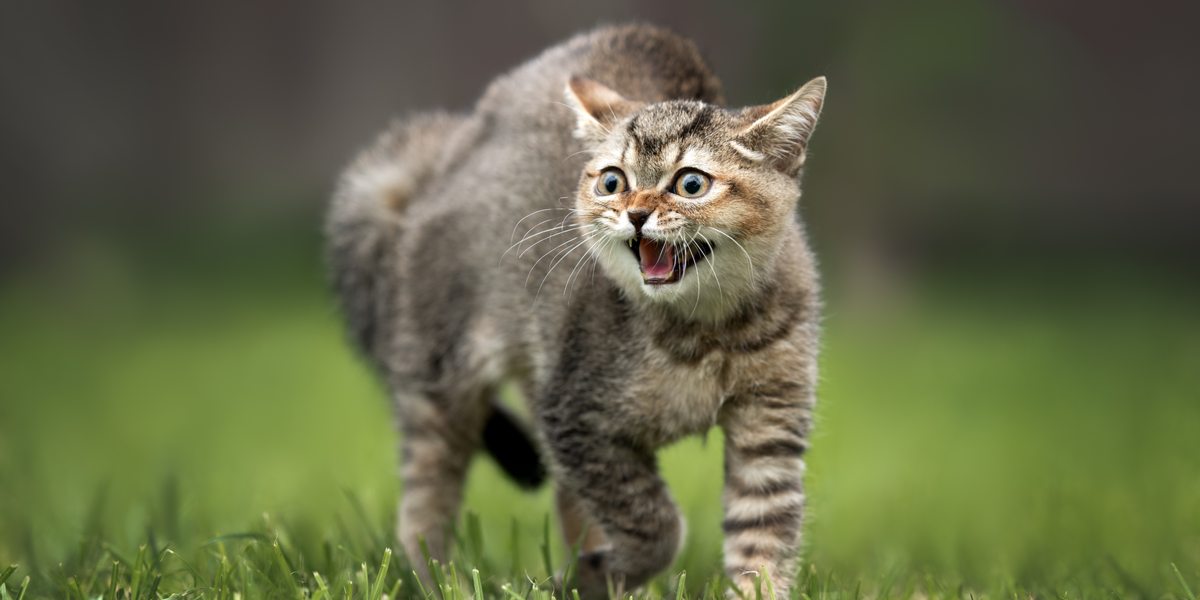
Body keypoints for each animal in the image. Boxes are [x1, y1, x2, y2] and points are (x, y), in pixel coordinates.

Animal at [328, 24, 825, 600]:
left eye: (691, 183)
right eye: (613, 182)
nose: (636, 213)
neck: (701, 332)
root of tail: (452, 151)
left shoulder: (771, 428)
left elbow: (761, 539)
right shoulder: (576, 420)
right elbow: (656, 524)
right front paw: (608, 567)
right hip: (439, 373)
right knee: (424, 501)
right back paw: (431, 579)